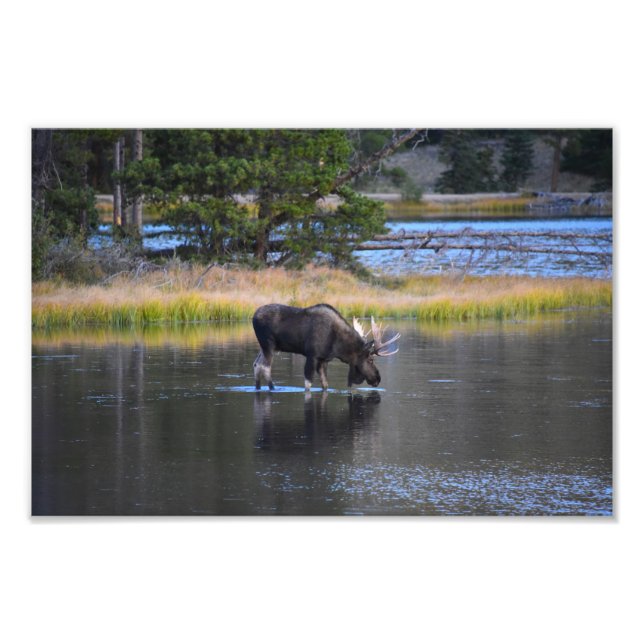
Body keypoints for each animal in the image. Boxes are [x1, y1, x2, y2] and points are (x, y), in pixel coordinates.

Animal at [252, 303, 400, 391]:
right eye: (370, 360)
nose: (378, 378)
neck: (339, 347)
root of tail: (253, 317)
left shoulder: (323, 360)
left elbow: (325, 384)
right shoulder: (312, 356)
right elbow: (308, 384)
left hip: (265, 347)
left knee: (256, 364)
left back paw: (257, 388)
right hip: (268, 344)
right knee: (265, 367)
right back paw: (272, 388)